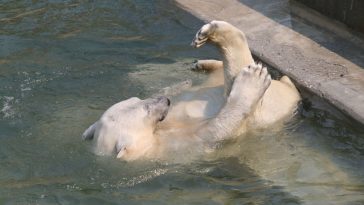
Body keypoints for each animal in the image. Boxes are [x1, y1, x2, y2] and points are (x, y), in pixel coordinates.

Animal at [82, 65, 270, 161]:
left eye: (137, 99)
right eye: (146, 110)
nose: (165, 100)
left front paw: (182, 85)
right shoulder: (179, 146)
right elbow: (217, 131)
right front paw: (254, 79)